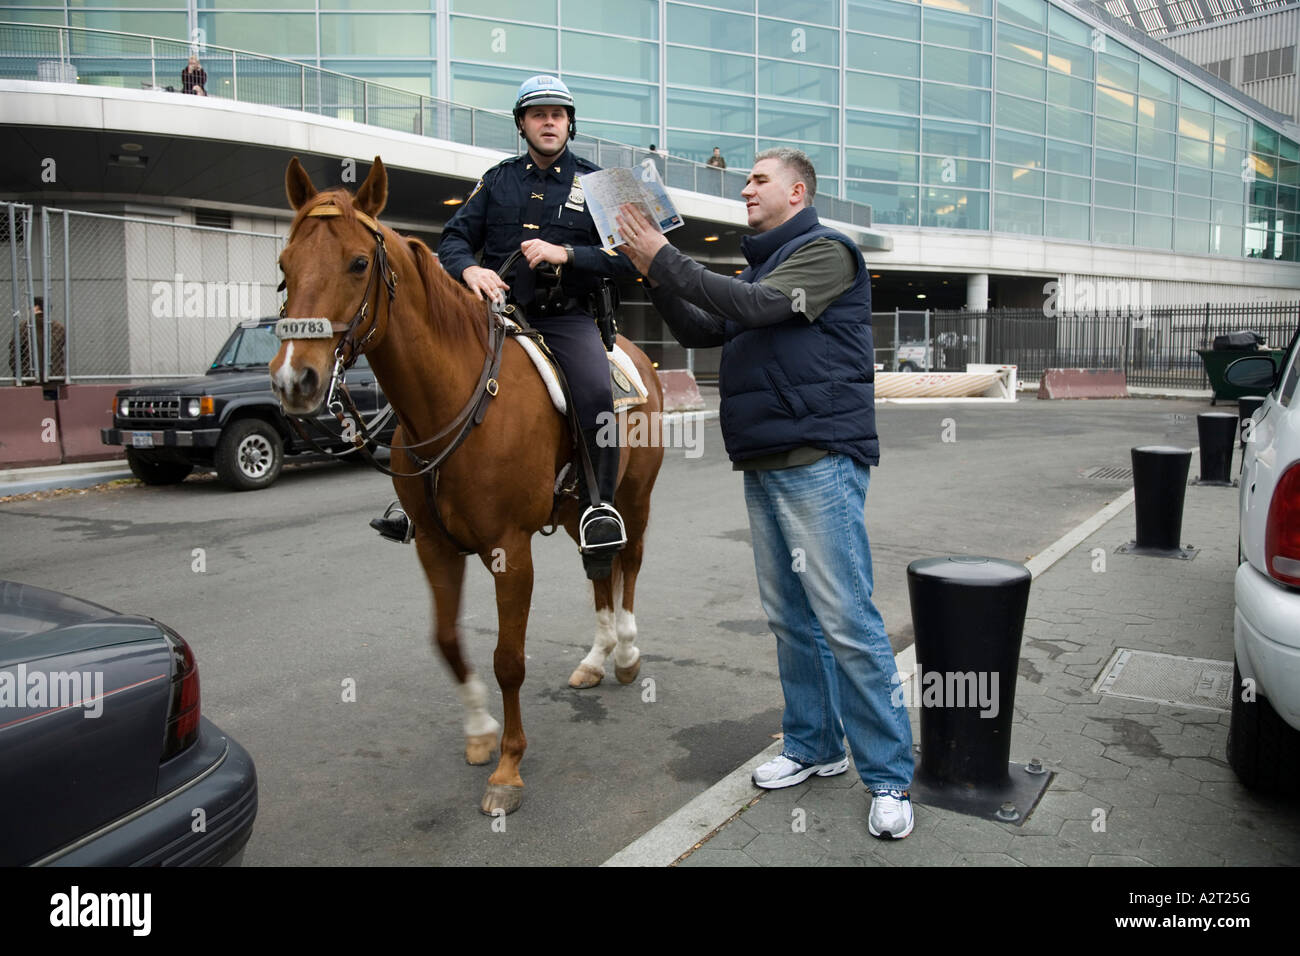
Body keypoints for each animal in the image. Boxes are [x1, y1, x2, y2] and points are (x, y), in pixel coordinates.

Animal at [270, 158, 665, 816]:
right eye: (284, 265)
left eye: (358, 263)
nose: (294, 380)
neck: (455, 400)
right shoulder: (435, 546)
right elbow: (448, 641)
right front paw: (481, 732)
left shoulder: (510, 550)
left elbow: (508, 660)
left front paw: (508, 768)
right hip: (581, 504)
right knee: (599, 567)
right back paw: (596, 657)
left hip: (633, 497)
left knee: (628, 561)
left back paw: (629, 652)